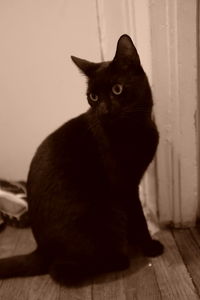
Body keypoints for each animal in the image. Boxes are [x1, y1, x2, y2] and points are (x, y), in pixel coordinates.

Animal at [0, 34, 163, 284]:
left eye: (117, 89)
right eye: (93, 97)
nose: (103, 110)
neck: (134, 128)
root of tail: (41, 249)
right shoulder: (125, 186)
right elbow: (139, 218)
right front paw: (149, 246)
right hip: (109, 215)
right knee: (60, 271)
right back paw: (119, 258)